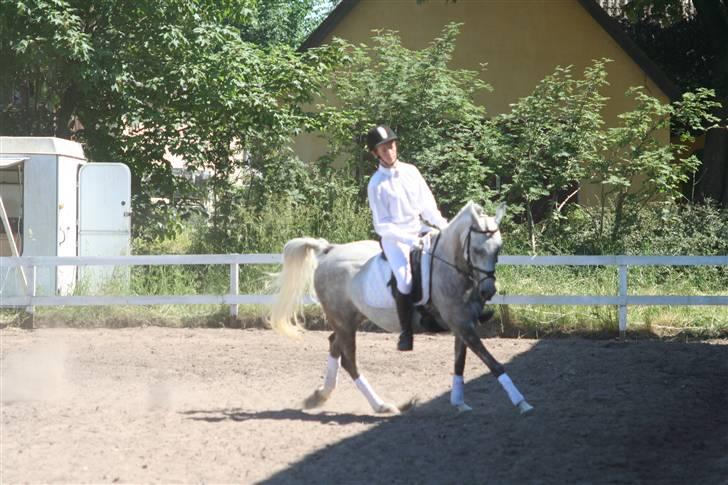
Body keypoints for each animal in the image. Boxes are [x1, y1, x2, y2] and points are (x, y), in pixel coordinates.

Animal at [270, 200, 532, 412]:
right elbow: (493, 363)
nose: (488, 291)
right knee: (349, 360)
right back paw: (381, 405)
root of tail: (328, 250)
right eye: (476, 250)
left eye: (498, 249)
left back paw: (320, 396)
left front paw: (459, 402)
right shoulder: (461, 324)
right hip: (343, 319)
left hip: (353, 317)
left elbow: (460, 363)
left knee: (334, 344)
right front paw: (522, 402)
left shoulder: (463, 324)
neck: (452, 269)